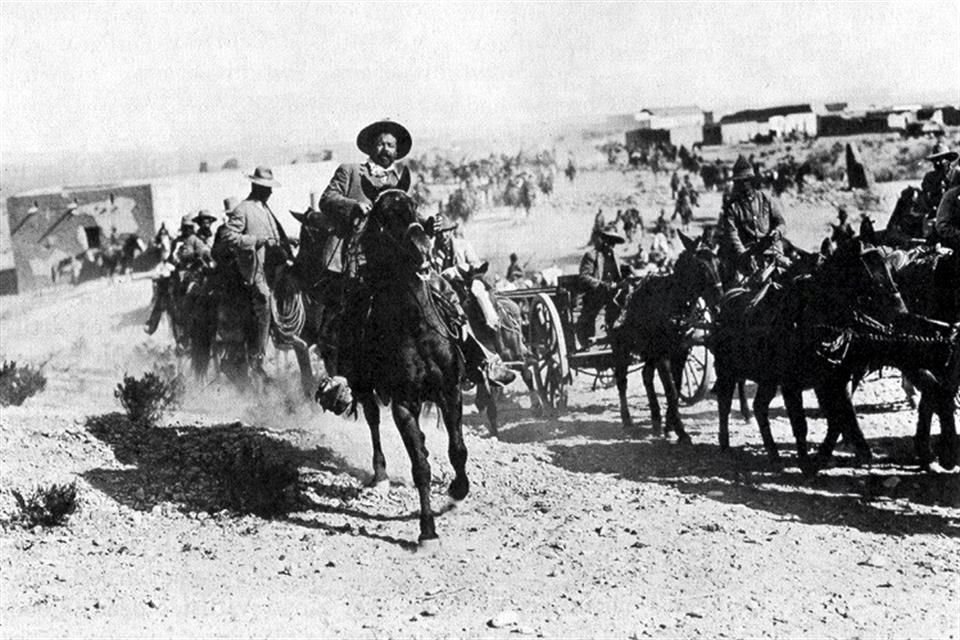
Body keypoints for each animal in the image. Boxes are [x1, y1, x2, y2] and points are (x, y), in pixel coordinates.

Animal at [612, 232, 724, 442]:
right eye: (701, 266)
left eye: (718, 263)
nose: (720, 306)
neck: (672, 303)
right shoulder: (663, 356)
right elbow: (671, 390)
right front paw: (681, 431)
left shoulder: (680, 353)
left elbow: (677, 387)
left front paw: (669, 426)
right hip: (620, 348)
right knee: (622, 381)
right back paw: (627, 420)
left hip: (649, 352)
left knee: (646, 375)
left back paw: (656, 419)